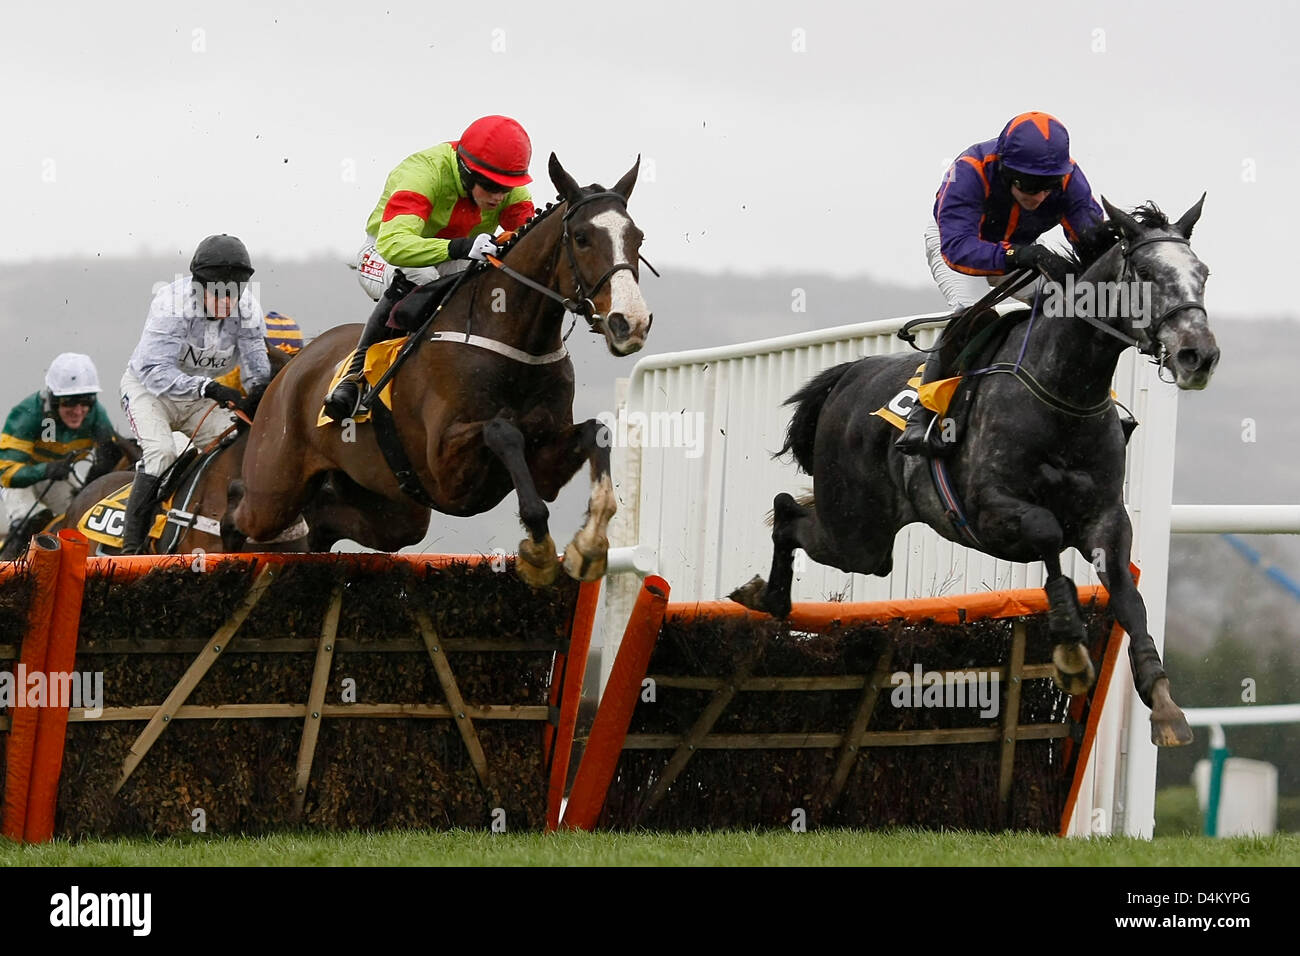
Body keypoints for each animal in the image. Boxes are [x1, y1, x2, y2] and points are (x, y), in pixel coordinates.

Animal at [230, 153, 655, 587]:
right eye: (582, 237)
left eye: (637, 238)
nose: (630, 323)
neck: (512, 343)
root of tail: (291, 368)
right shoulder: (445, 469)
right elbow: (503, 431)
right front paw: (539, 551)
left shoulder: (544, 463)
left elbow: (596, 432)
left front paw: (588, 545)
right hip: (273, 489)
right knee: (241, 512)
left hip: (392, 509)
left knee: (328, 522)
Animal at [743, 196, 1216, 749]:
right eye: (1144, 272)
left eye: (1203, 273)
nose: (1198, 355)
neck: (1064, 394)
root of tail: (847, 377)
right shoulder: (991, 511)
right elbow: (1047, 532)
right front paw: (1070, 652)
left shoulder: (1106, 519)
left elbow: (1128, 596)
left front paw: (1164, 705)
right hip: (856, 532)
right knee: (788, 514)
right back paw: (765, 594)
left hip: (864, 538)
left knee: (796, 510)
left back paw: (765, 593)